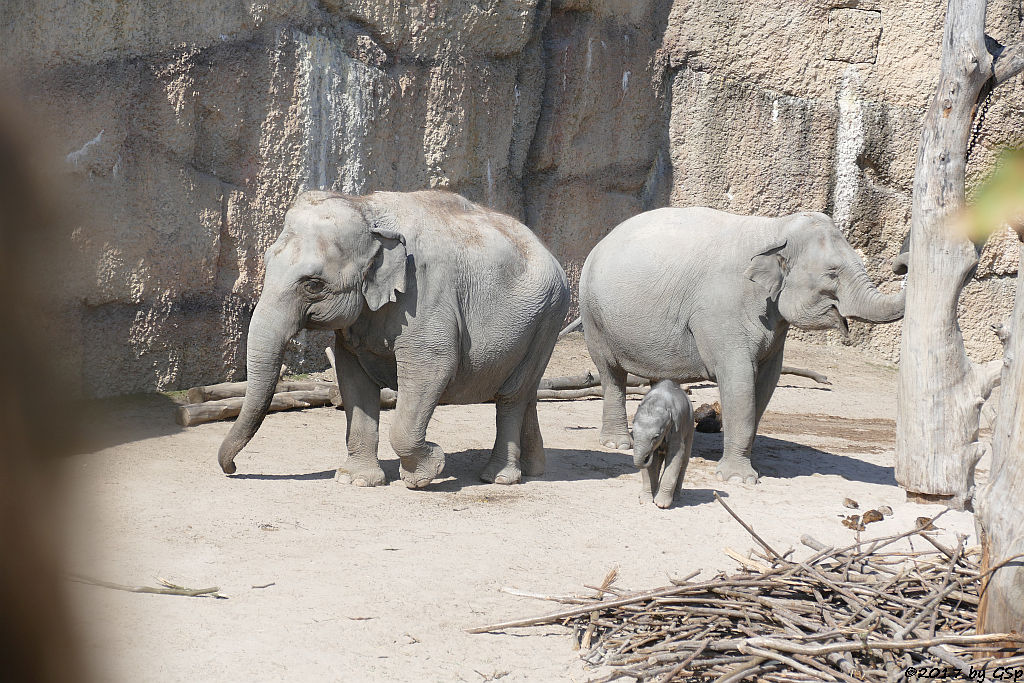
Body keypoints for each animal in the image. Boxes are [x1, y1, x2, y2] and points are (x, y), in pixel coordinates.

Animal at [218, 189, 569, 489]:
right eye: (267, 263)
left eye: (313, 284)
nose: (232, 469)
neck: (366, 208)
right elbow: (352, 380)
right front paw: (355, 480)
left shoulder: (425, 298)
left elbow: (433, 368)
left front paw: (427, 471)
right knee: (528, 391)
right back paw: (535, 469)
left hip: (548, 316)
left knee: (511, 395)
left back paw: (499, 478)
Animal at [577, 209, 905, 485]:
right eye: (833, 273)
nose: (901, 266)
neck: (775, 228)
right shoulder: (723, 311)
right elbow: (739, 382)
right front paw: (738, 479)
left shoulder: (774, 323)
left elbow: (766, 383)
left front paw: (748, 466)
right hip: (593, 315)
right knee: (611, 373)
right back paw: (618, 443)